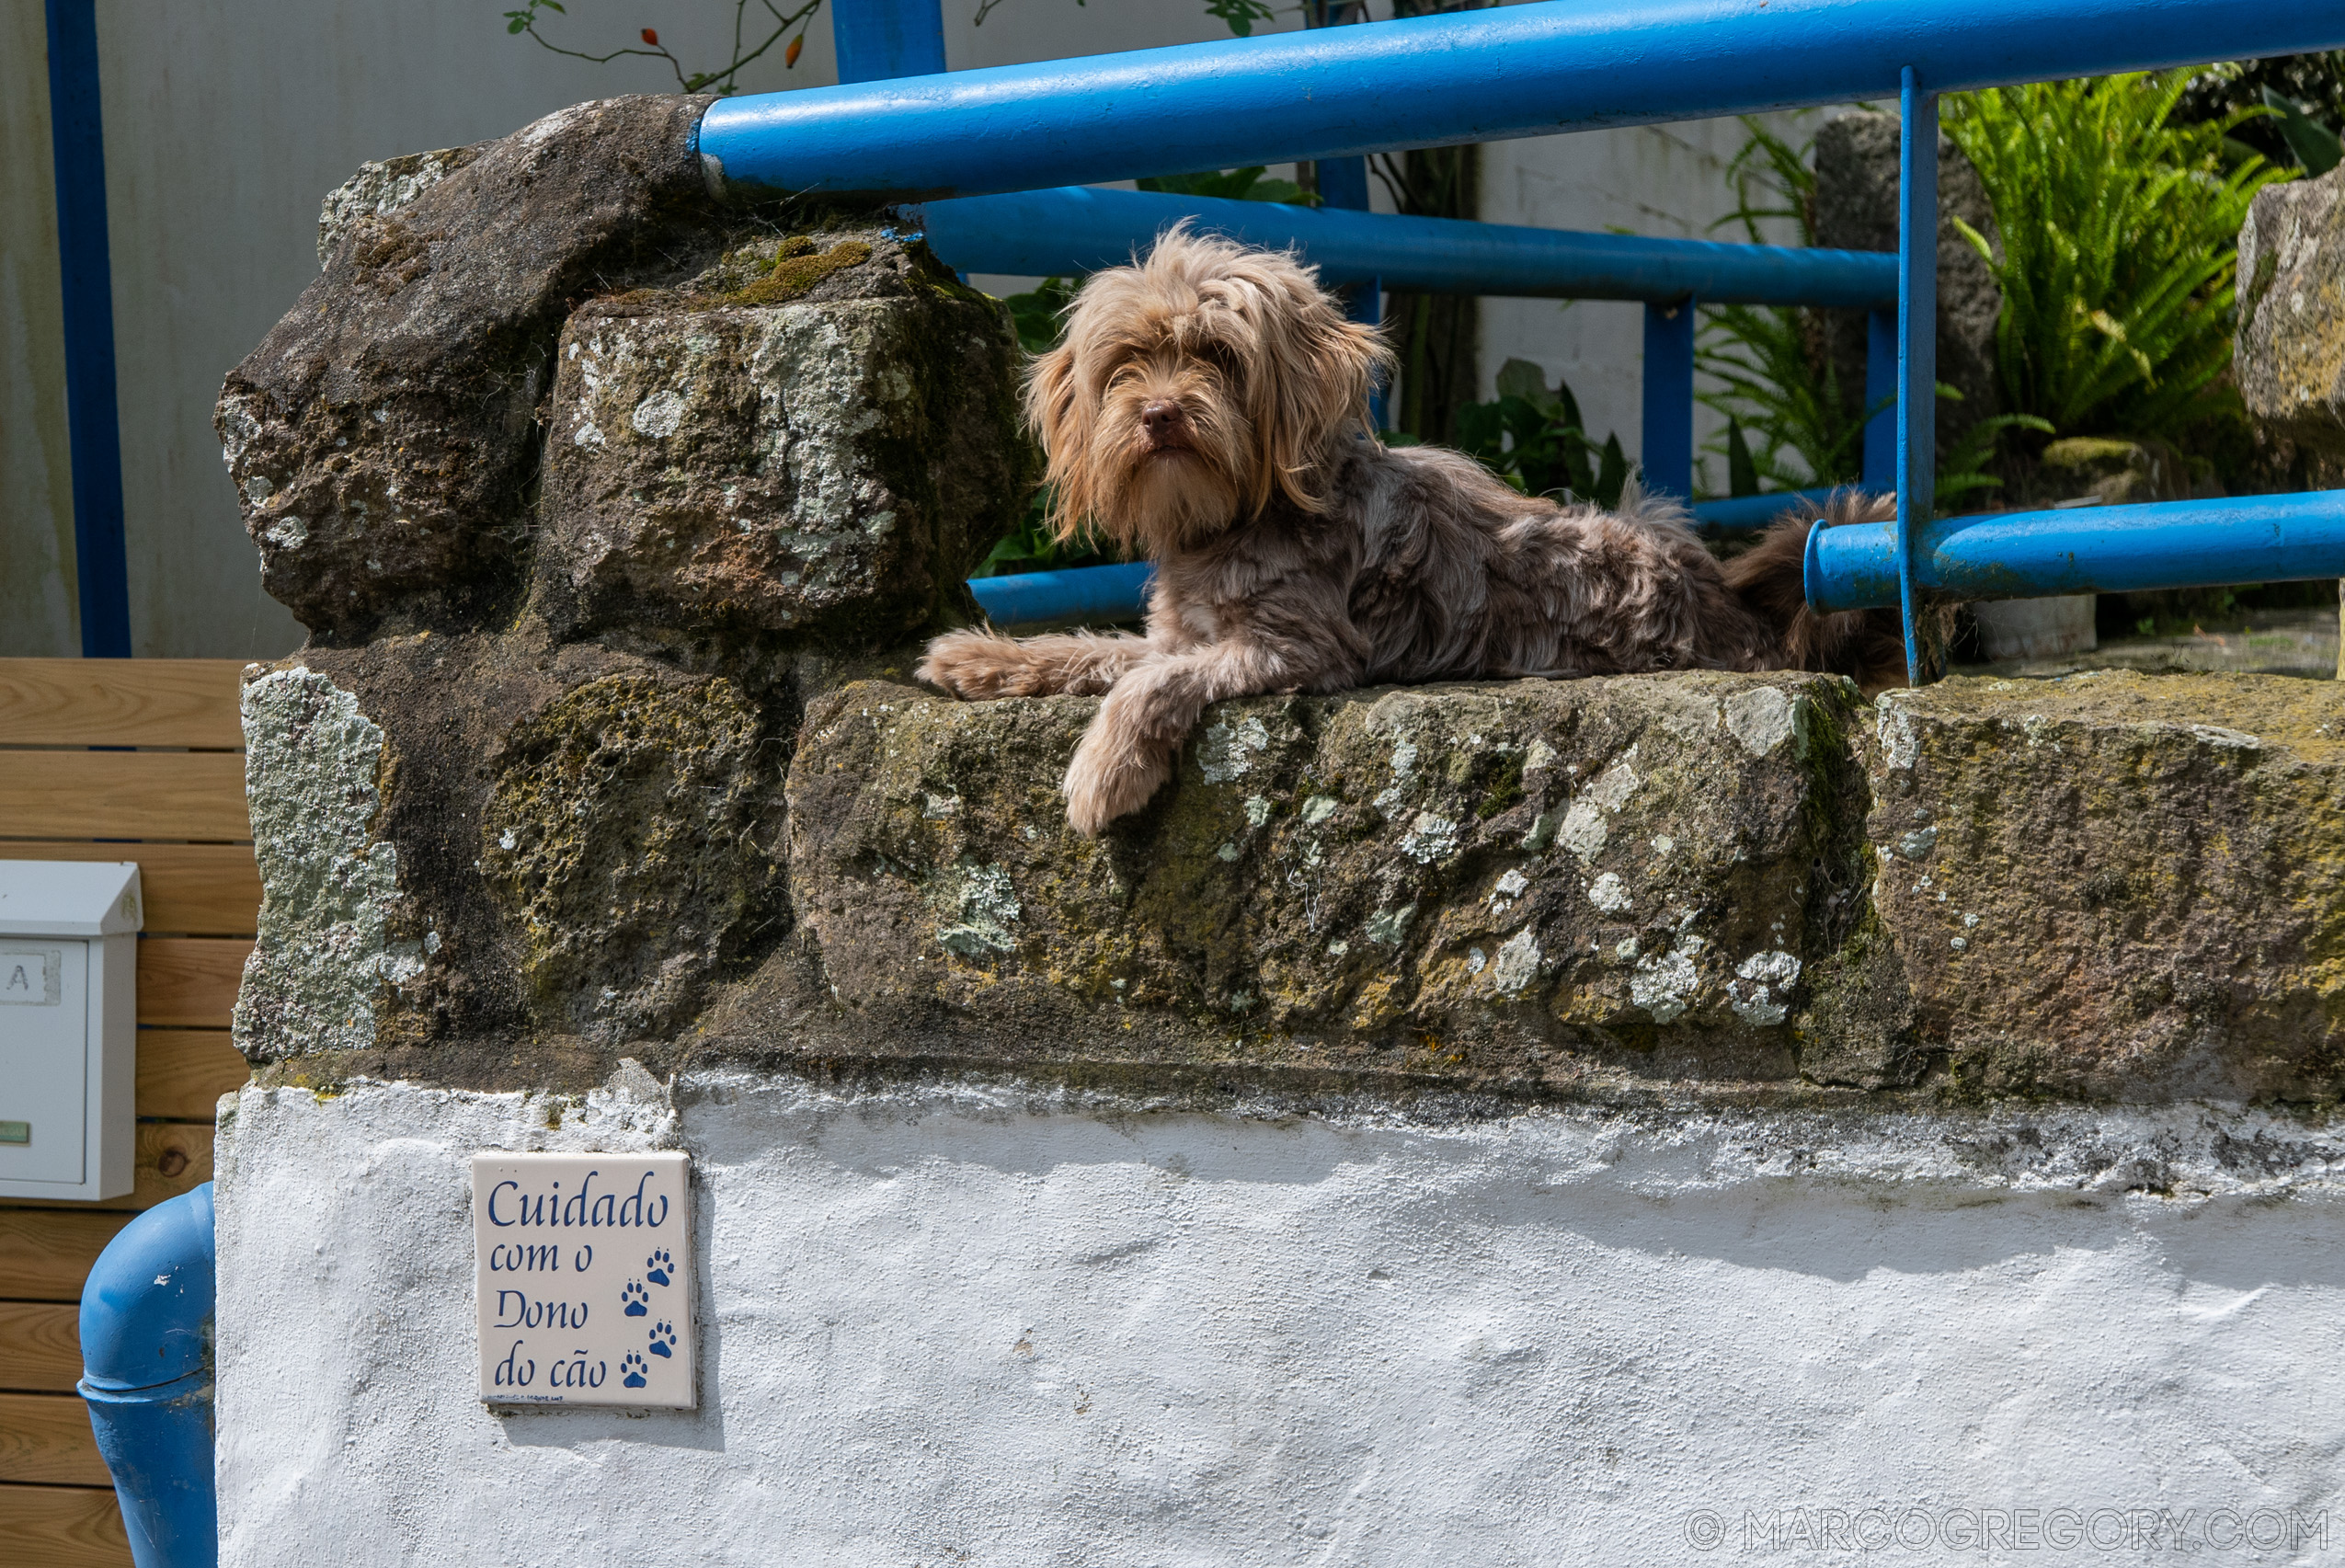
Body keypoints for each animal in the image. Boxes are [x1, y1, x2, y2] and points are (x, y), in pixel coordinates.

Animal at [914, 229, 1904, 830]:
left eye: (1218, 357)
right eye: (1125, 363)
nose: (1158, 414)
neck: (1236, 515)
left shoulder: (1300, 647)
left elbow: (1148, 683)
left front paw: (1103, 770)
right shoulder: (1177, 632)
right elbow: (1095, 648)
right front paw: (980, 656)